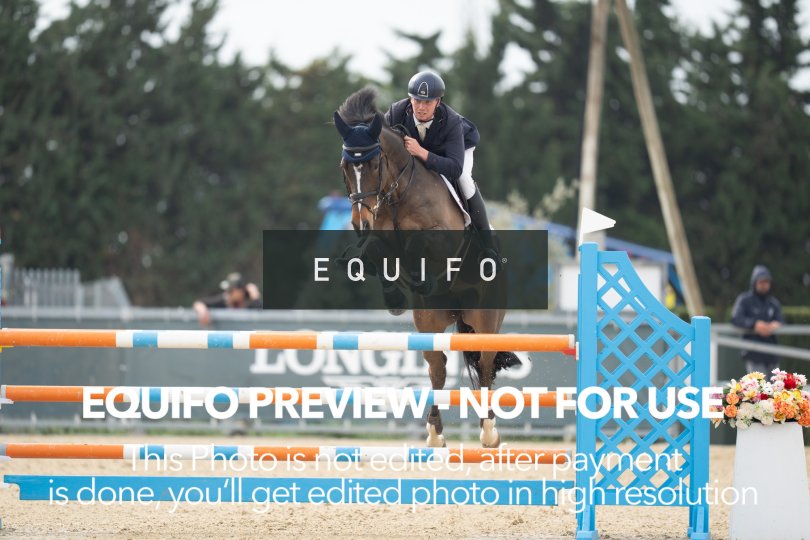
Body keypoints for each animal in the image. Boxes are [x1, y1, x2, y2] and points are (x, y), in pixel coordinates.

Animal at [333, 87, 520, 448]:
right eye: (345, 166)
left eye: (374, 163)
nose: (359, 222)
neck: (397, 193)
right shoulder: (378, 236)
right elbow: (376, 250)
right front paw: (393, 297)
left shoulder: (441, 239)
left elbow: (415, 247)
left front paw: (419, 279)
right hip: (430, 321)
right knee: (439, 369)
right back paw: (435, 433)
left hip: (485, 320)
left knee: (486, 365)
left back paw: (489, 431)